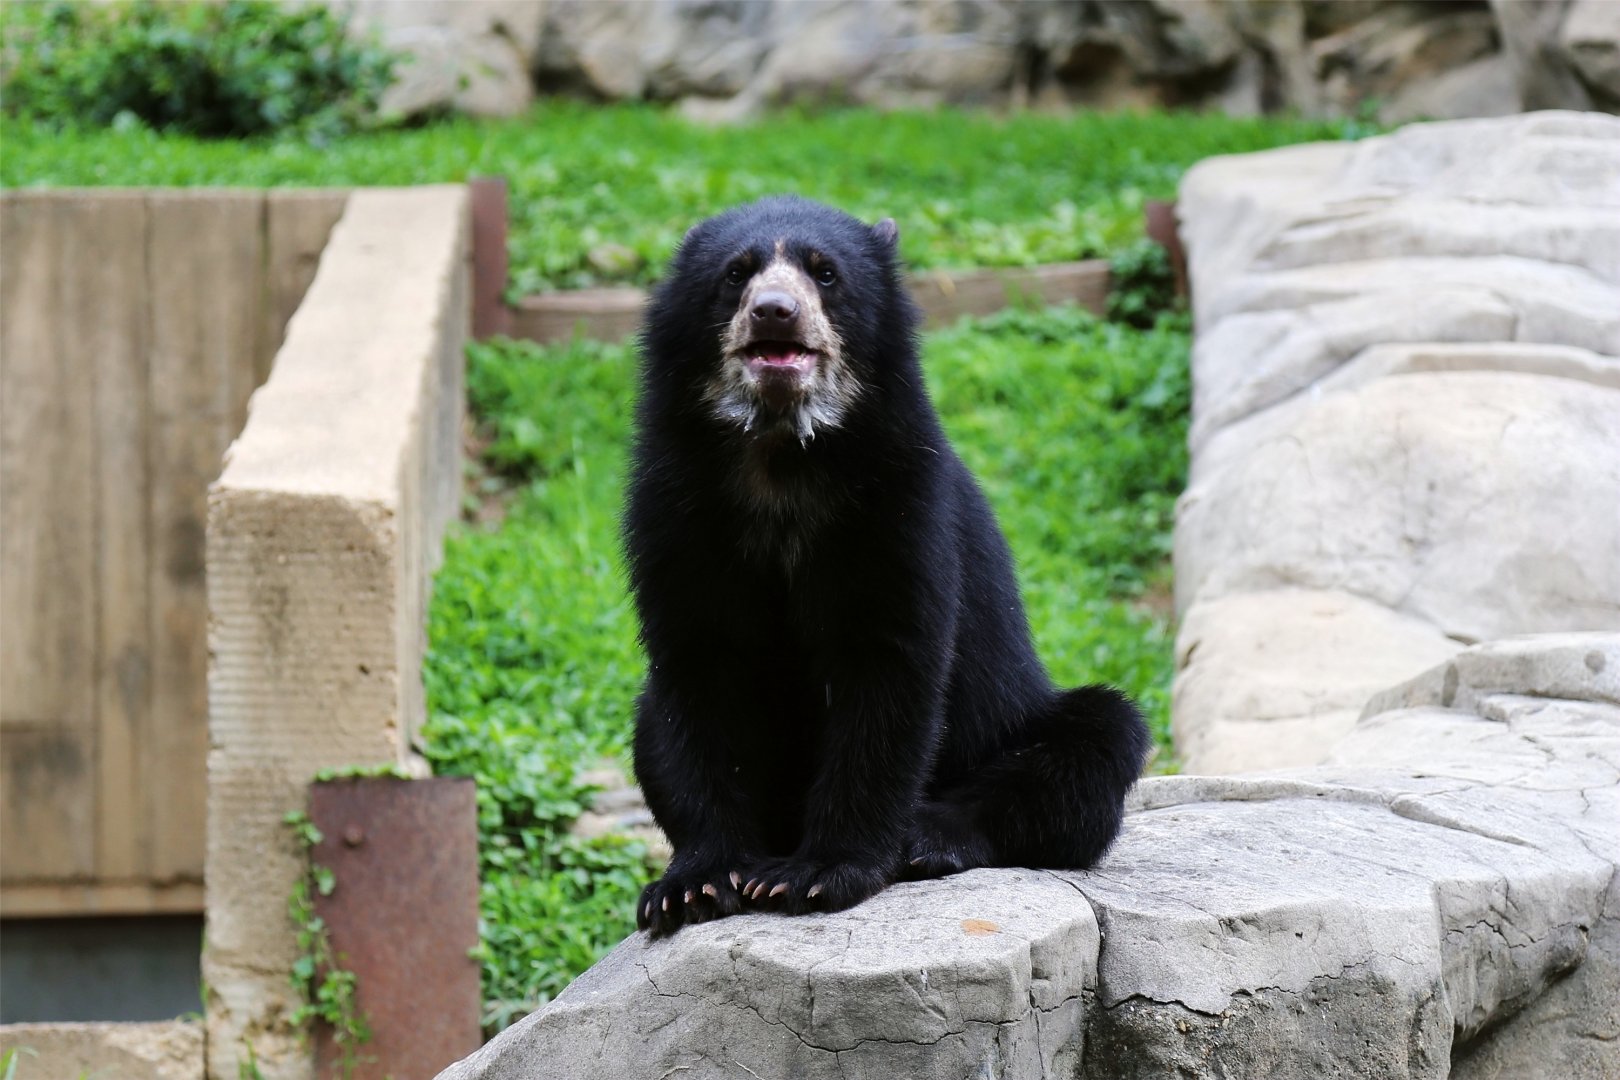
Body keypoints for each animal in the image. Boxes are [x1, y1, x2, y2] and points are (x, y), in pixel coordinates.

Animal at [626, 196, 1149, 935]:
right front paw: (694, 886)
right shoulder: (675, 507)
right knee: (651, 723)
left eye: (825, 273)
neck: (781, 458)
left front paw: (817, 874)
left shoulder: (899, 501)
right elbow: (698, 669)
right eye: (736, 274)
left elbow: (888, 661)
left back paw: (929, 837)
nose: (775, 312)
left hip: (1017, 722)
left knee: (1097, 740)